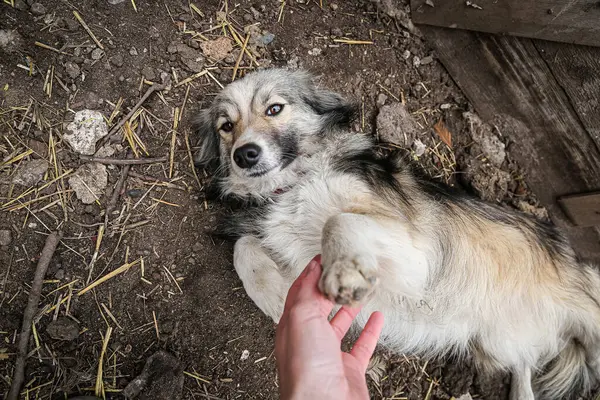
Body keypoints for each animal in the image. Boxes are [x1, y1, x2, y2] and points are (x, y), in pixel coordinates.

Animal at [193, 69, 600, 400]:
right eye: (226, 126)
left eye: (274, 109)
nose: (244, 154)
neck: (292, 186)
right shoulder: (292, 248)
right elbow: (244, 247)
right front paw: (276, 298)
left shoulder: (412, 248)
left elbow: (339, 221)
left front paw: (343, 270)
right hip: (504, 345)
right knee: (525, 372)